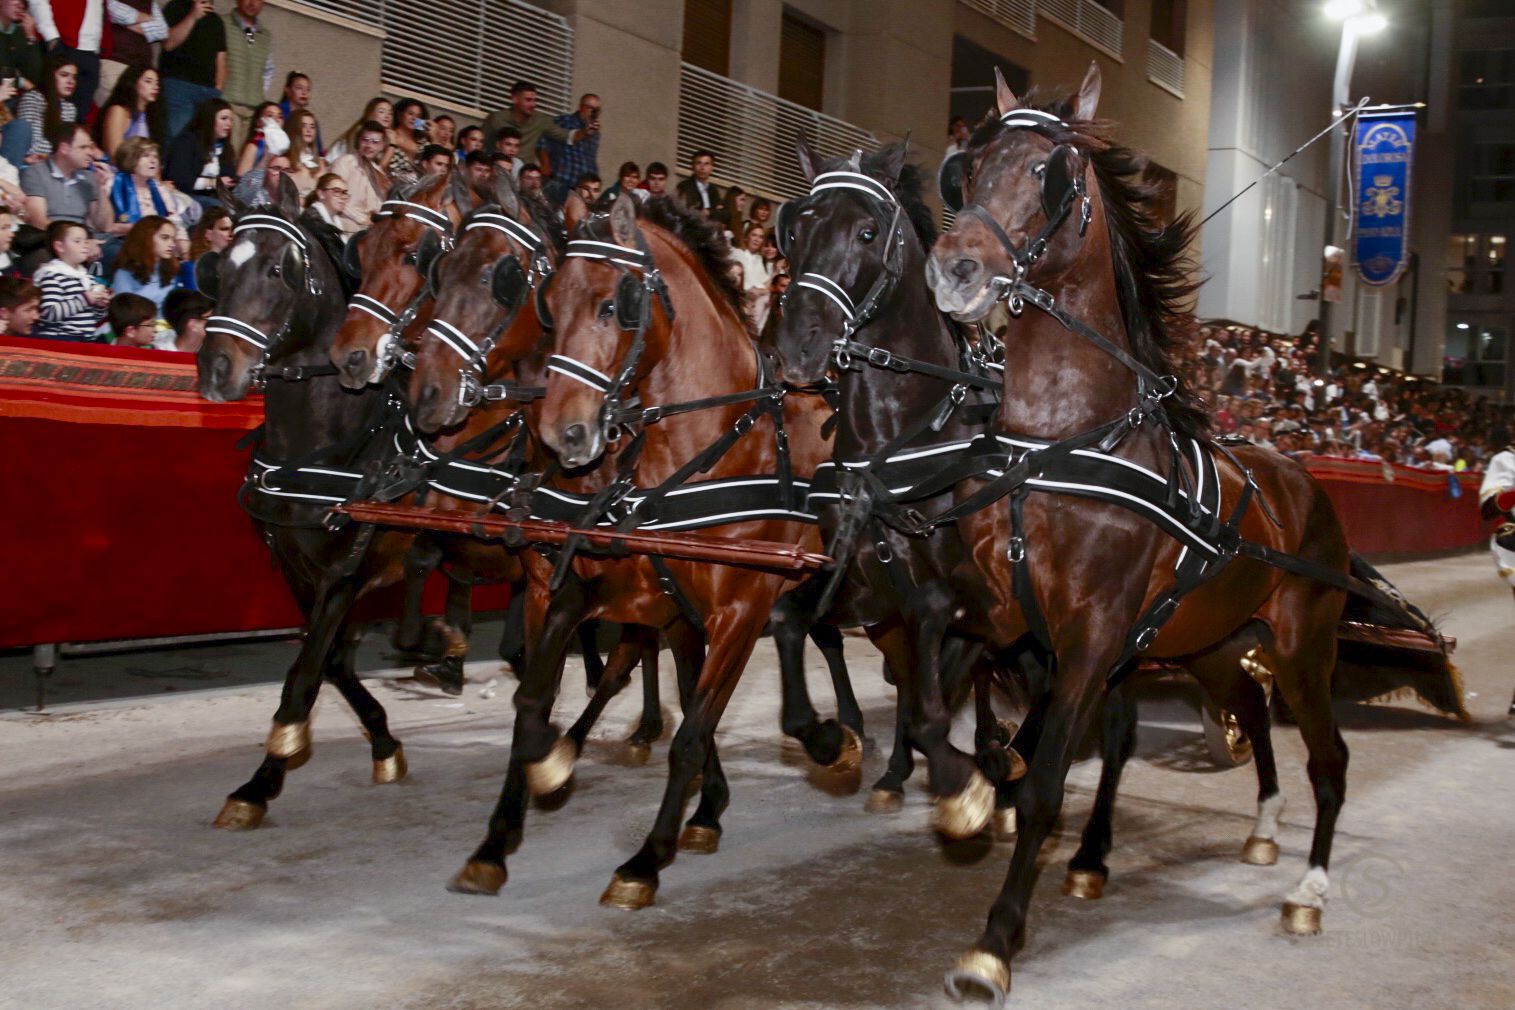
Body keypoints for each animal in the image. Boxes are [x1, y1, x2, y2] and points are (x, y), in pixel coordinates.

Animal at [442, 191, 836, 908]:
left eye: (613, 305)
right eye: (549, 303)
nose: (566, 430)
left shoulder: (739, 607)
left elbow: (691, 730)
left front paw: (644, 860)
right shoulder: (585, 585)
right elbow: (534, 701)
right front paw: (510, 820)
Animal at [927, 65, 1357, 1005]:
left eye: (1046, 173)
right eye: (965, 168)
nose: (953, 268)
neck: (1060, 444)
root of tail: (1301, 478)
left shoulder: (1091, 636)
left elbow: (1048, 779)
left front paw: (992, 944)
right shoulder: (998, 613)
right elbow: (943, 698)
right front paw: (968, 792)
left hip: (1303, 648)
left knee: (1328, 757)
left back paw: (1308, 891)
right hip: (1210, 643)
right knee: (1253, 719)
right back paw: (1263, 830)